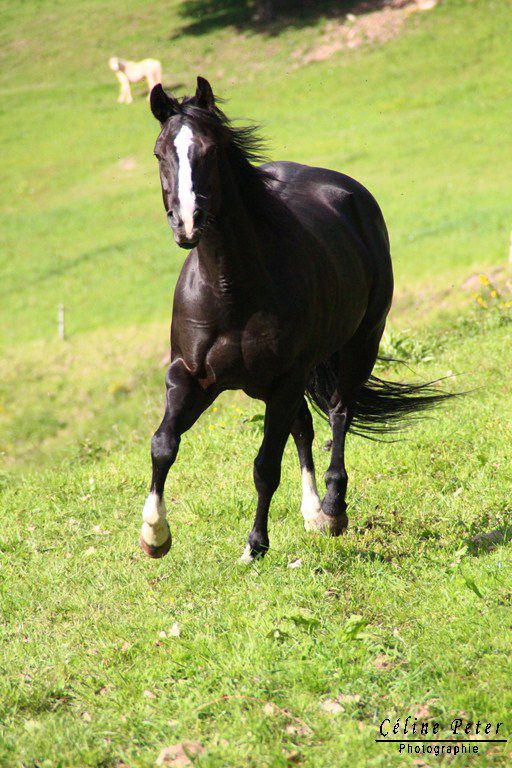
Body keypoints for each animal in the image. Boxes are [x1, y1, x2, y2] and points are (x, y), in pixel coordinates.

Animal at [140, 77, 451, 562]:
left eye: (210, 150)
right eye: (159, 153)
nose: (188, 223)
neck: (230, 289)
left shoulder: (284, 380)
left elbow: (265, 466)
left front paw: (255, 545)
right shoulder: (190, 375)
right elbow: (162, 445)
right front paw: (155, 535)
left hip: (360, 343)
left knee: (339, 414)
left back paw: (333, 510)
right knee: (304, 426)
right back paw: (312, 513)